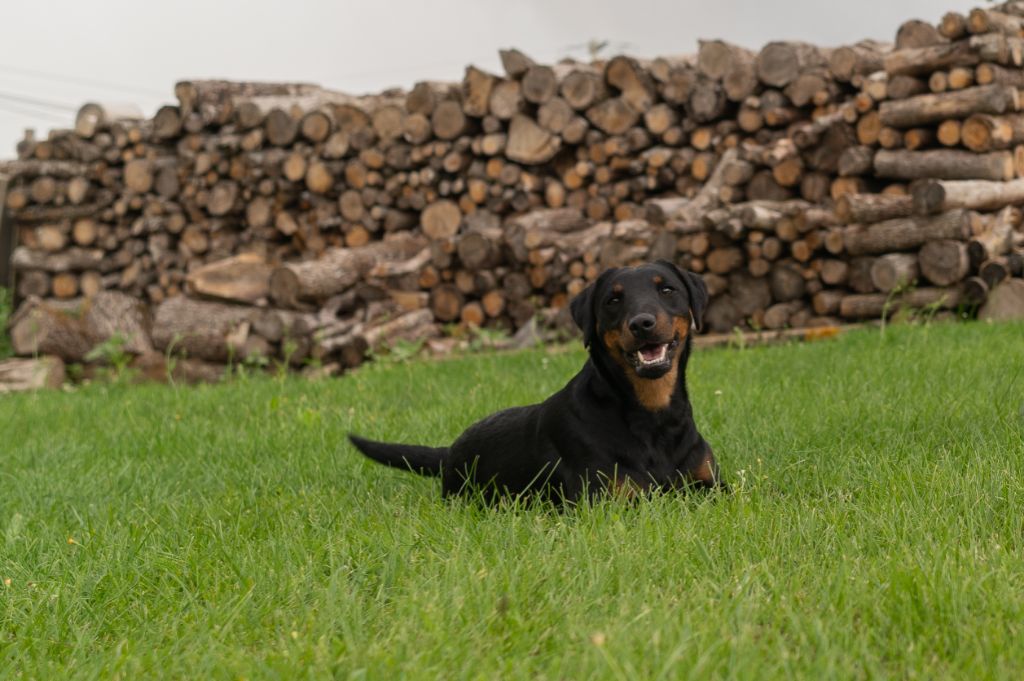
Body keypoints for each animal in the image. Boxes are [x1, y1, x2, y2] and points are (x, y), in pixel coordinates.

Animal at [348, 260, 724, 503]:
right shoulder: (610, 499)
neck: (652, 414)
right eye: (613, 299)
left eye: (667, 289)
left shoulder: (713, 487)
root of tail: (450, 451)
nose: (642, 323)